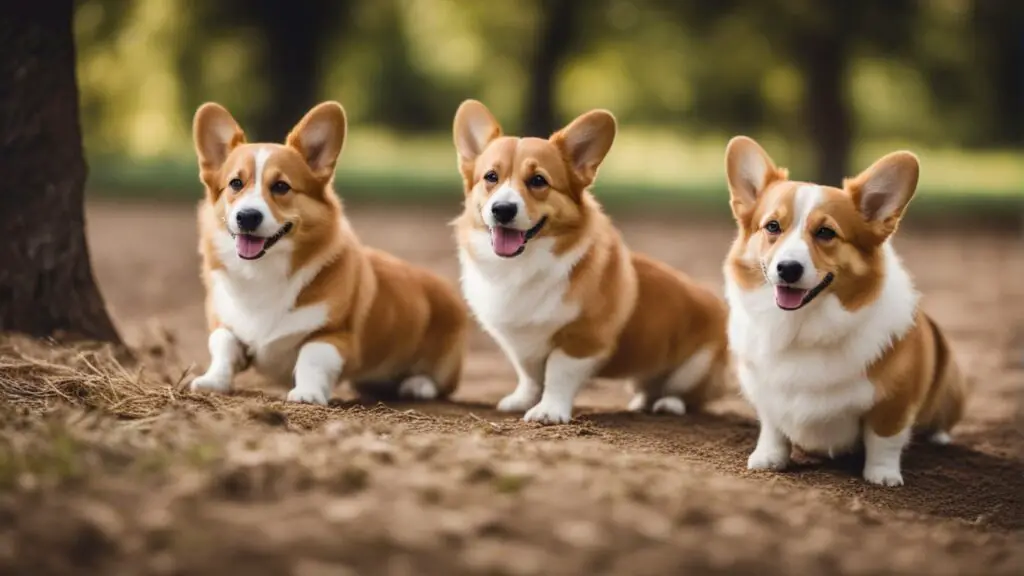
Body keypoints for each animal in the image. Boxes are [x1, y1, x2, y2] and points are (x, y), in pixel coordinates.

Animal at [188, 99, 468, 403]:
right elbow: (223, 346)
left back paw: (418, 385)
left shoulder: (333, 334)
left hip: (445, 365)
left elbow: (311, 358)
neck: (263, 273)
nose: (247, 217)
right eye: (235, 184)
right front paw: (212, 380)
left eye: (281, 186)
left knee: (441, 382)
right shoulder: (223, 323)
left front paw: (307, 394)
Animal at [454, 99, 729, 422]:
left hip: (695, 368)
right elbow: (530, 375)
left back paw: (669, 404)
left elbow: (557, 373)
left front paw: (548, 410)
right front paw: (522, 400)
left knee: (688, 395)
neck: (521, 266)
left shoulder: (582, 340)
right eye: (491, 177)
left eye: (538, 181)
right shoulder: (521, 346)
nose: (502, 209)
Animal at [724, 136, 970, 481]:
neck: (802, 326)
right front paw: (769, 457)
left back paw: (939, 437)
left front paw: (882, 476)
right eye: (772, 227)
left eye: (826, 232)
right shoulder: (766, 395)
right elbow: (773, 428)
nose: (788, 269)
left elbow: (885, 439)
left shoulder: (894, 402)